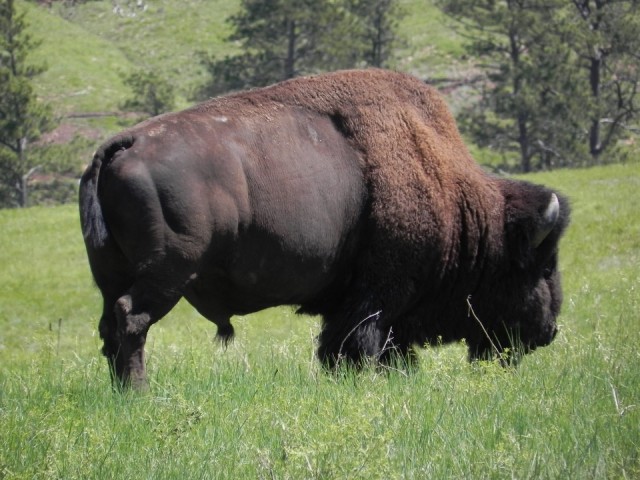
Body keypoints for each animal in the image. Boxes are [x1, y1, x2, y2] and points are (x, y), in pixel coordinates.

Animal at [80, 69, 570, 388]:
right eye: (543, 268)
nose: (549, 332)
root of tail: (122, 143)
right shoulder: (379, 295)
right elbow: (363, 341)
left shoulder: (354, 301)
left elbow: (339, 343)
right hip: (168, 272)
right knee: (132, 318)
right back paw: (140, 392)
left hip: (112, 274)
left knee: (109, 325)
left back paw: (119, 390)